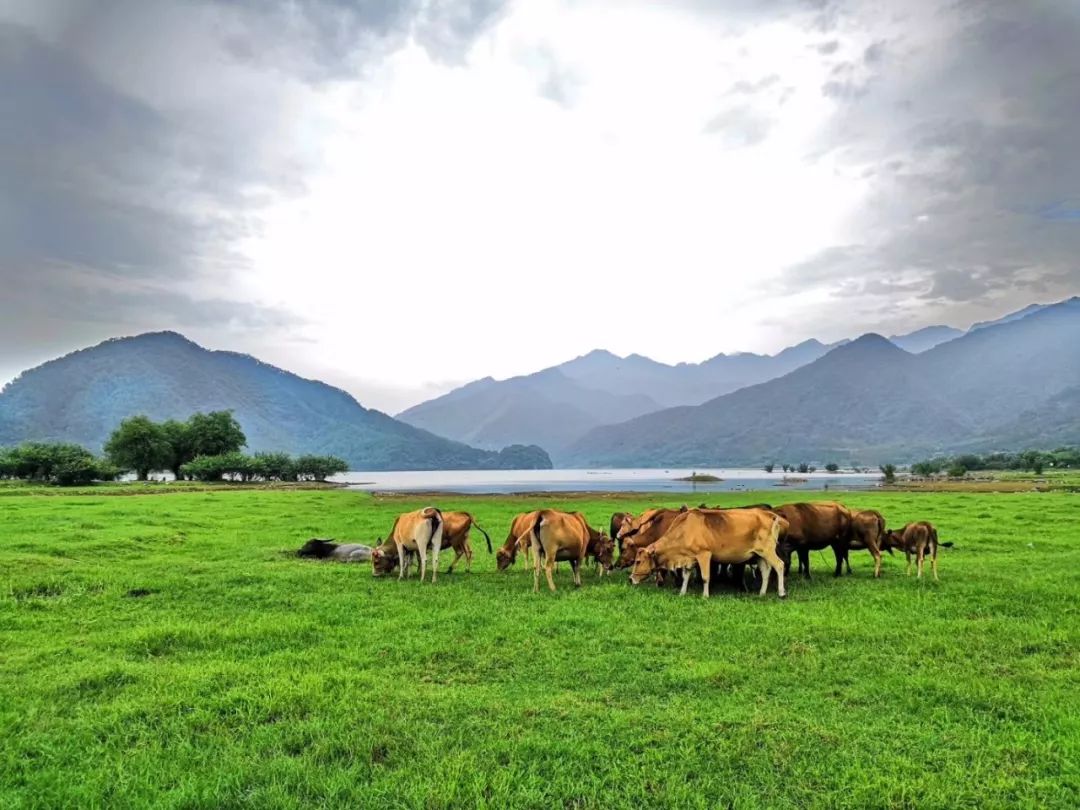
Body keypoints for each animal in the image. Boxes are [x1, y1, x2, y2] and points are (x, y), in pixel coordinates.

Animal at [626, 509, 786, 600]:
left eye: (638, 561)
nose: (630, 579)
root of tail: (770, 515)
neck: (685, 529)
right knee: (766, 571)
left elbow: (705, 577)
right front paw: (682, 592)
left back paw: (781, 593)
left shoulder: (704, 555)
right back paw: (762, 593)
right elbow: (686, 576)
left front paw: (705, 595)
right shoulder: (689, 558)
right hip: (759, 554)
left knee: (779, 565)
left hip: (768, 551)